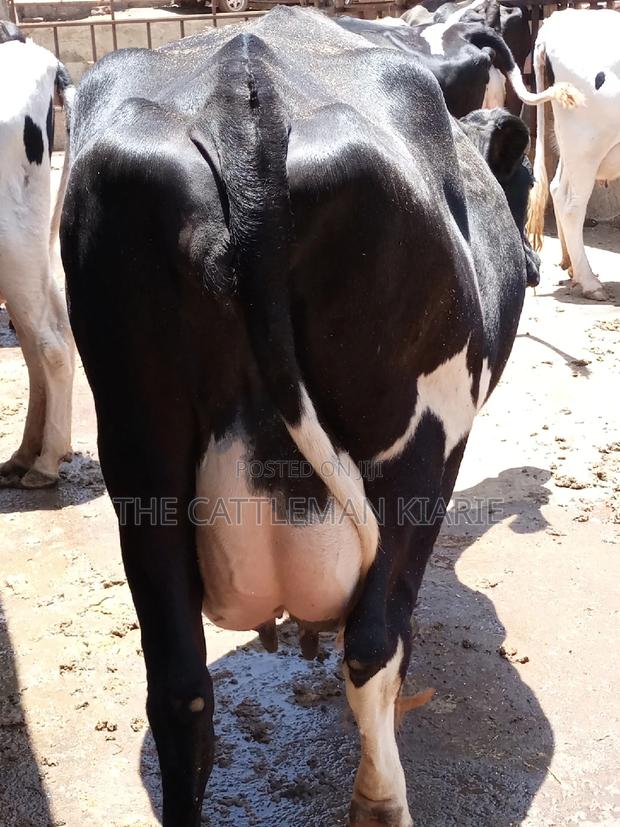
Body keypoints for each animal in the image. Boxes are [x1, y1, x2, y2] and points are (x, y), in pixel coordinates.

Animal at [60, 7, 545, 825]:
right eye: (526, 177)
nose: (539, 266)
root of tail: (243, 89)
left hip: (137, 451)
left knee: (181, 690)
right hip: (413, 453)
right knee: (373, 644)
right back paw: (381, 798)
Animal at [527, 9, 616, 302]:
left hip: (569, 143)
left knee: (556, 188)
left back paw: (571, 266)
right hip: (585, 144)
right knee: (571, 204)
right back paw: (589, 282)